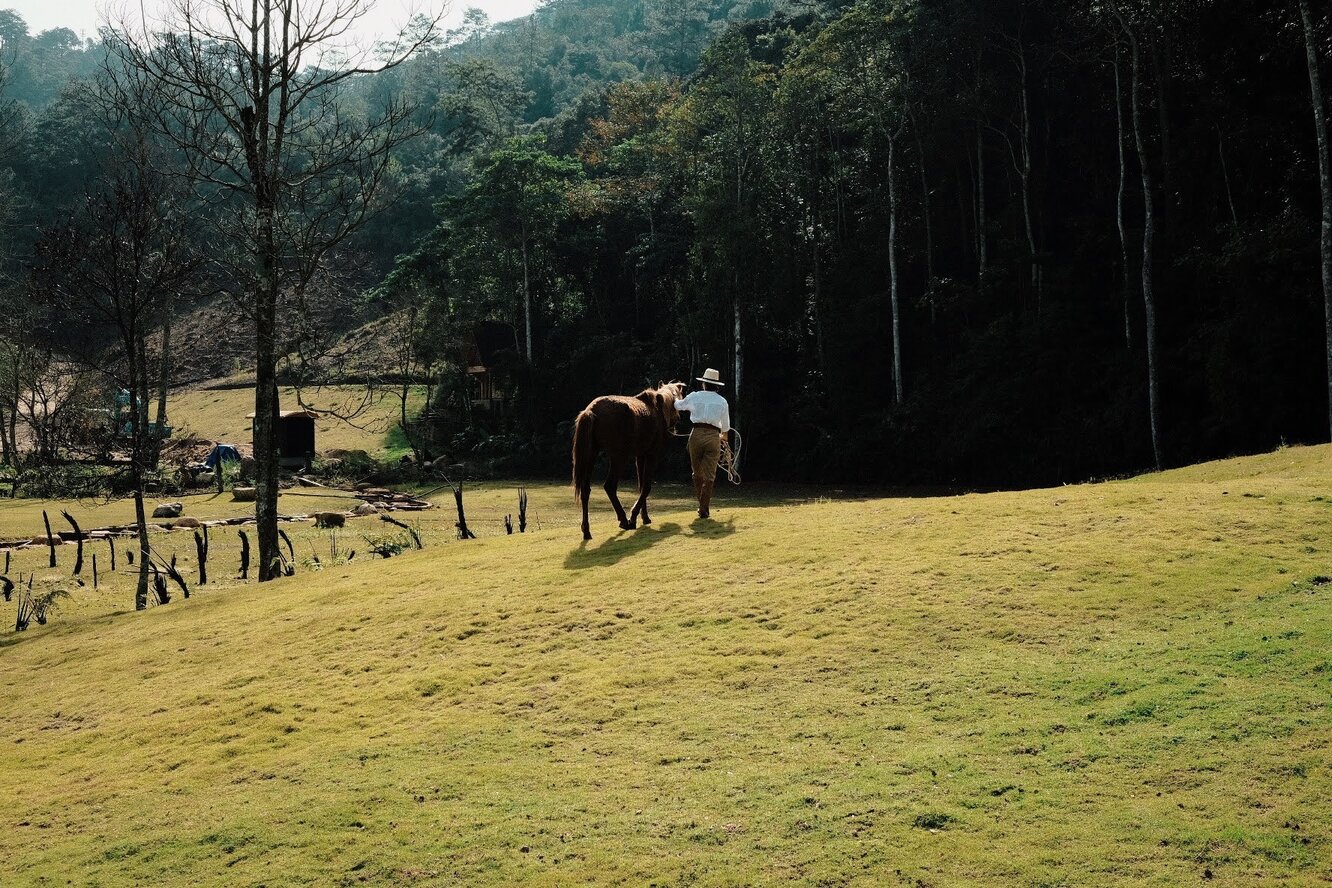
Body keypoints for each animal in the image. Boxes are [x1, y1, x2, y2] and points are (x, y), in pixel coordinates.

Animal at [570, 378, 687, 537]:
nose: (673, 428)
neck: (658, 410)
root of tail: (591, 410)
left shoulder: (640, 455)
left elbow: (641, 486)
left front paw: (644, 517)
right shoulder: (652, 454)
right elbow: (646, 487)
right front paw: (633, 517)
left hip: (591, 456)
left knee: (585, 490)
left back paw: (586, 529)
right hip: (619, 457)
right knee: (609, 486)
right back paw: (624, 520)